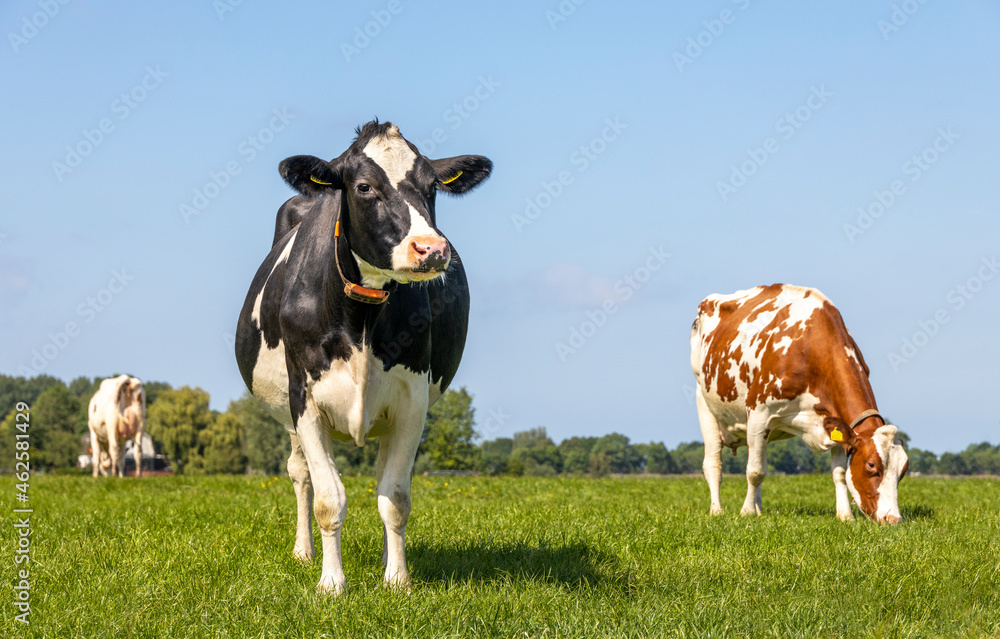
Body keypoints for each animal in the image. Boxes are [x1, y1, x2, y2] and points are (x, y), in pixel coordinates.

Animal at [235, 121, 492, 596]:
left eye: (432, 187)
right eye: (364, 186)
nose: (431, 250)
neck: (362, 316)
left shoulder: (411, 402)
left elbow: (395, 496)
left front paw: (397, 579)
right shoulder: (305, 401)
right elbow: (328, 499)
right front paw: (331, 583)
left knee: (381, 478)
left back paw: (386, 557)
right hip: (288, 414)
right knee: (299, 473)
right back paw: (304, 552)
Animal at [692, 284, 912, 524]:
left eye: (903, 470)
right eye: (871, 465)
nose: (893, 519)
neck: (811, 350)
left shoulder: (835, 420)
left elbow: (839, 473)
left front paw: (845, 515)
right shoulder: (759, 412)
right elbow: (755, 471)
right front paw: (746, 512)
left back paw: (758, 509)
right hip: (705, 404)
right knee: (713, 465)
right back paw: (717, 510)